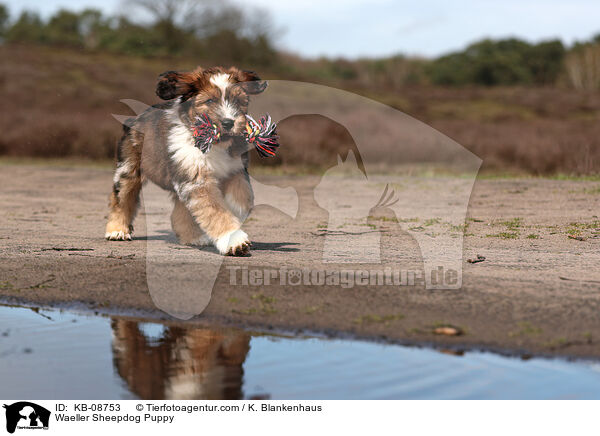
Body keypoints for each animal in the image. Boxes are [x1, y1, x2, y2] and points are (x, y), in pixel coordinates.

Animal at [105, 65, 268, 255]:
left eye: (238, 101)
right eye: (210, 101)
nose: (228, 122)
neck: (214, 144)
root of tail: (134, 119)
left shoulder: (235, 171)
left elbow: (242, 199)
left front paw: (234, 220)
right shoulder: (196, 178)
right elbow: (215, 210)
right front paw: (233, 240)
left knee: (179, 211)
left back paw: (193, 238)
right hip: (128, 168)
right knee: (122, 197)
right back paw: (117, 230)